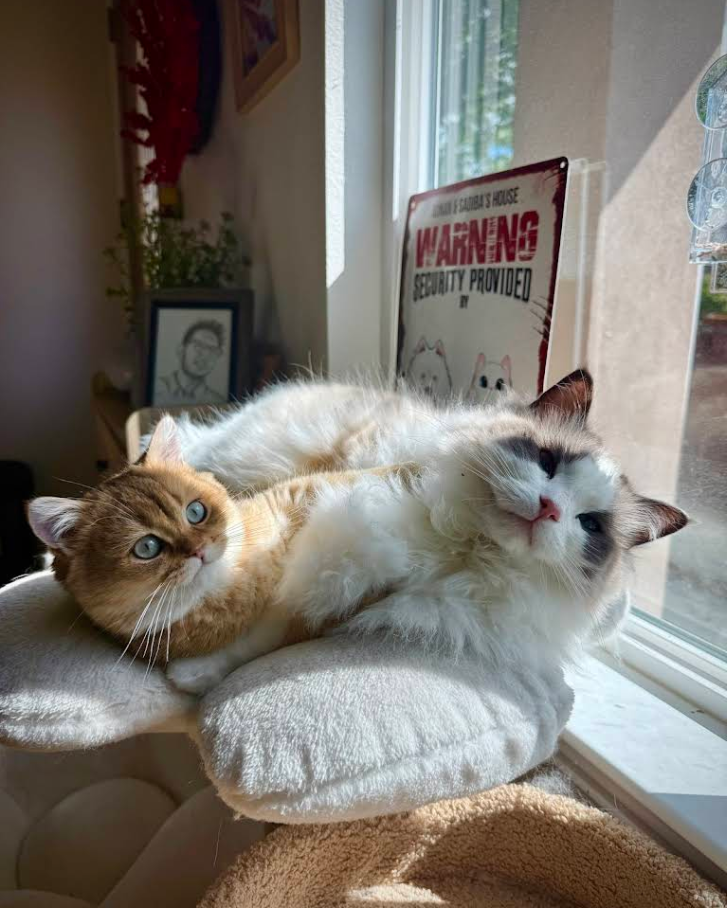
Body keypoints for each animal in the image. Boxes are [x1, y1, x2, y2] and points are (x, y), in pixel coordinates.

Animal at [27, 370, 687, 695]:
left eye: (591, 526)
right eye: (548, 461)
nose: (550, 510)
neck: (461, 547)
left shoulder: (358, 599)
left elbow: (266, 636)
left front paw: (197, 677)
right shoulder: (335, 549)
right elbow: (257, 617)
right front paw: (193, 673)